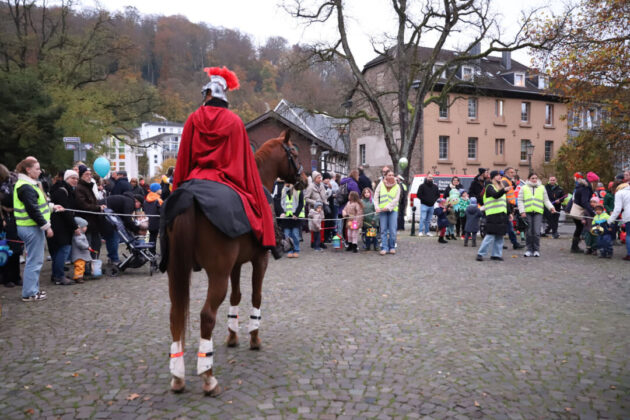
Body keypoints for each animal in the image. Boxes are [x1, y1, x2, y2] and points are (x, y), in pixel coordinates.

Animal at [165, 130, 308, 394]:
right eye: (294, 152)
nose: (303, 179)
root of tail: (190, 197)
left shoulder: (236, 265)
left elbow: (236, 296)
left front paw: (232, 336)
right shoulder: (259, 259)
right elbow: (256, 296)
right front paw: (254, 338)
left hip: (176, 273)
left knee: (175, 315)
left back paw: (178, 376)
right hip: (217, 274)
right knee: (207, 315)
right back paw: (208, 376)